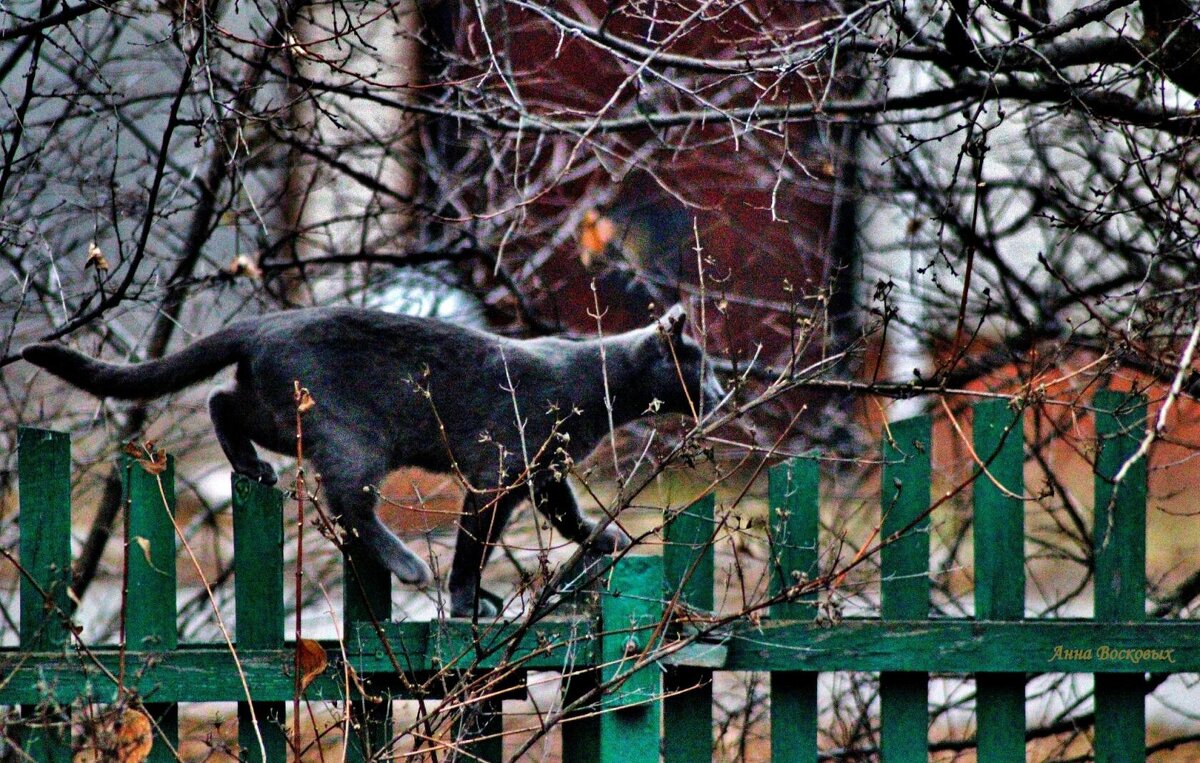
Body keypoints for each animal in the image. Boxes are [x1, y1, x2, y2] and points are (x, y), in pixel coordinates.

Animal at [23, 302, 720, 614]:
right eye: (701, 368)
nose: (718, 392)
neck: (595, 391)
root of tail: (265, 323)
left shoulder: (542, 475)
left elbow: (567, 515)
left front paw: (605, 540)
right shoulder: (497, 475)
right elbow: (473, 545)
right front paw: (465, 602)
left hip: (283, 416)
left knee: (222, 400)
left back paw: (250, 468)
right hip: (353, 439)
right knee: (348, 505)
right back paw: (405, 563)